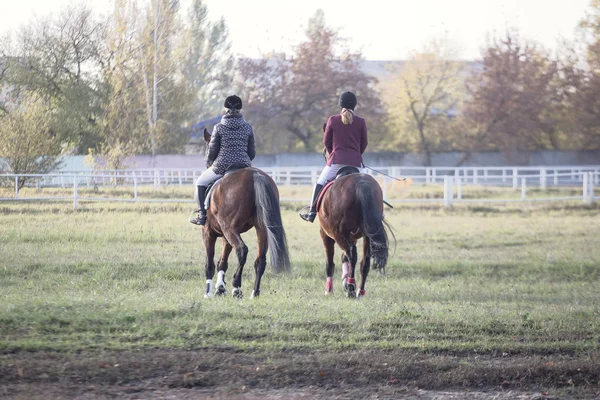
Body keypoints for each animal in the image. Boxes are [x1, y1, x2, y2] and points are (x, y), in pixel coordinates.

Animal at [200, 130, 290, 298]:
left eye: (208, 148)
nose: (207, 163)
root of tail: (255, 175)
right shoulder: (225, 236)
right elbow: (222, 262)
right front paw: (220, 288)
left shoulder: (208, 232)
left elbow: (210, 263)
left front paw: (209, 292)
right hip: (261, 230)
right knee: (260, 260)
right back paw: (254, 293)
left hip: (230, 230)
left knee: (242, 250)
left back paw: (237, 287)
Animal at [318, 155, 390, 298]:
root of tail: (360, 183)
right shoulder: (353, 237)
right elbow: (344, 257)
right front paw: (345, 281)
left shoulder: (325, 234)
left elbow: (330, 263)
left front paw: (329, 289)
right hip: (368, 236)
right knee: (364, 262)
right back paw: (359, 291)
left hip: (338, 234)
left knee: (352, 255)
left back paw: (351, 287)